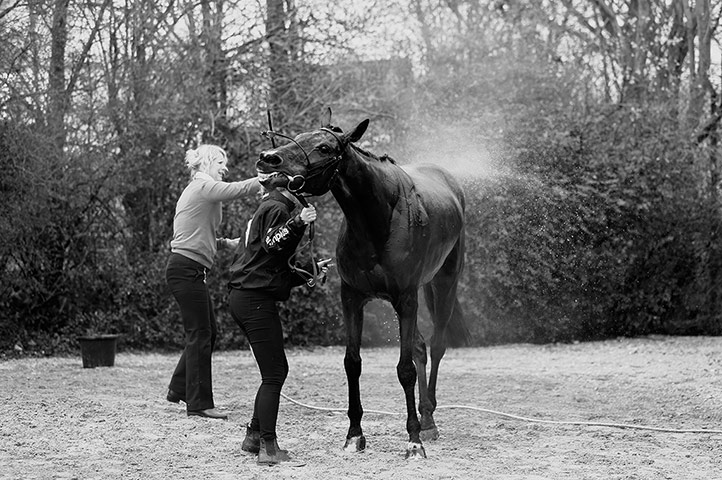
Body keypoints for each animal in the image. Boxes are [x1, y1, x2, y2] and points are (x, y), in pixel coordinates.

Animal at [256, 115, 470, 458]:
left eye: (324, 147)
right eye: (299, 135)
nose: (268, 157)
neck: (377, 218)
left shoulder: (405, 299)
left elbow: (405, 369)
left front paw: (414, 441)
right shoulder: (352, 298)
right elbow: (352, 363)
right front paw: (354, 434)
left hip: (445, 283)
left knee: (437, 346)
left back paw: (428, 419)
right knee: (421, 348)